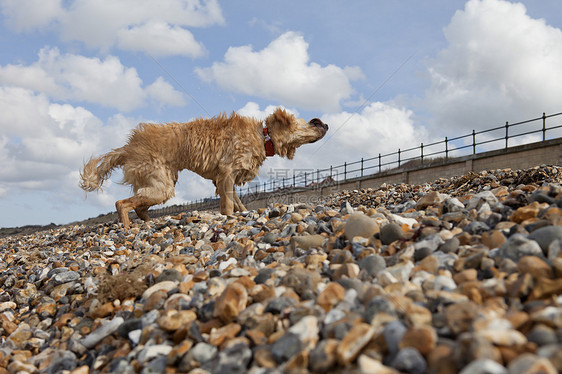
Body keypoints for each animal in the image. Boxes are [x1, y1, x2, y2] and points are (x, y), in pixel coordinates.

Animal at [76, 108, 326, 229]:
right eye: (307, 122)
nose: (324, 123)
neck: (263, 135)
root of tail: (128, 147)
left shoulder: (225, 179)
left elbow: (237, 203)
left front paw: (243, 213)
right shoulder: (226, 173)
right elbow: (228, 205)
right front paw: (229, 217)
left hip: (160, 183)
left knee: (139, 207)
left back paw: (148, 224)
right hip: (161, 185)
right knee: (122, 203)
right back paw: (128, 226)